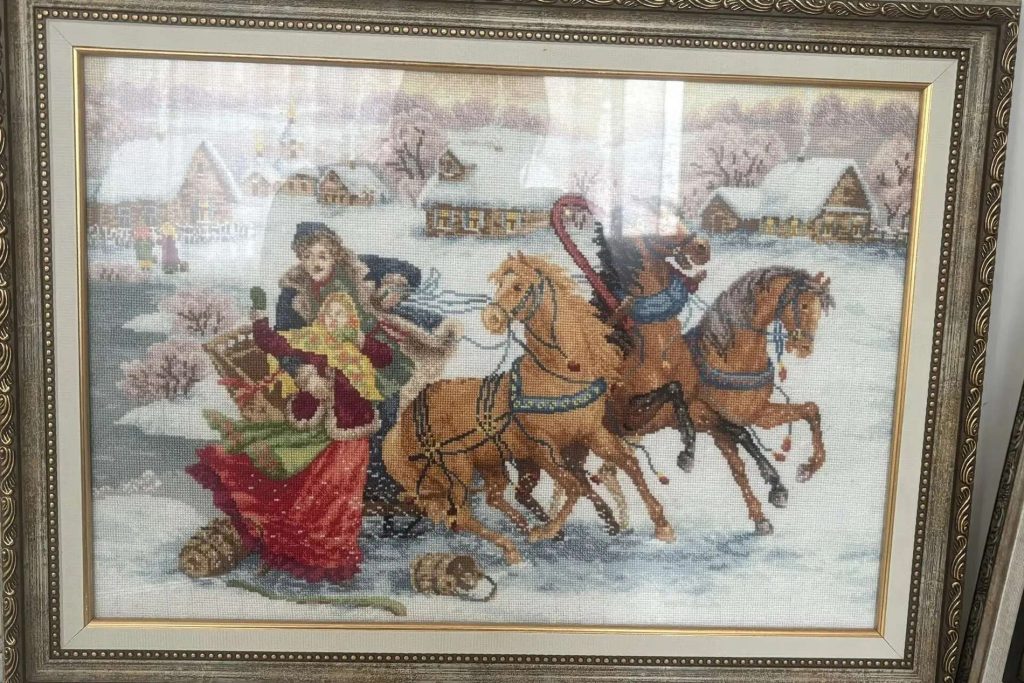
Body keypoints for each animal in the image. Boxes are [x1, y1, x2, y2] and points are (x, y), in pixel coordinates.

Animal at [382, 252, 676, 564]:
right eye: (501, 284)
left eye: (518, 286)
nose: (492, 318)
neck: (557, 375)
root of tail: (401, 424)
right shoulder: (542, 448)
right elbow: (574, 486)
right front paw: (546, 531)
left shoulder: (591, 434)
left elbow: (629, 465)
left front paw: (662, 525)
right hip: (454, 470)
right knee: (460, 513)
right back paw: (514, 547)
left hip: (490, 463)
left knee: (493, 497)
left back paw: (521, 531)